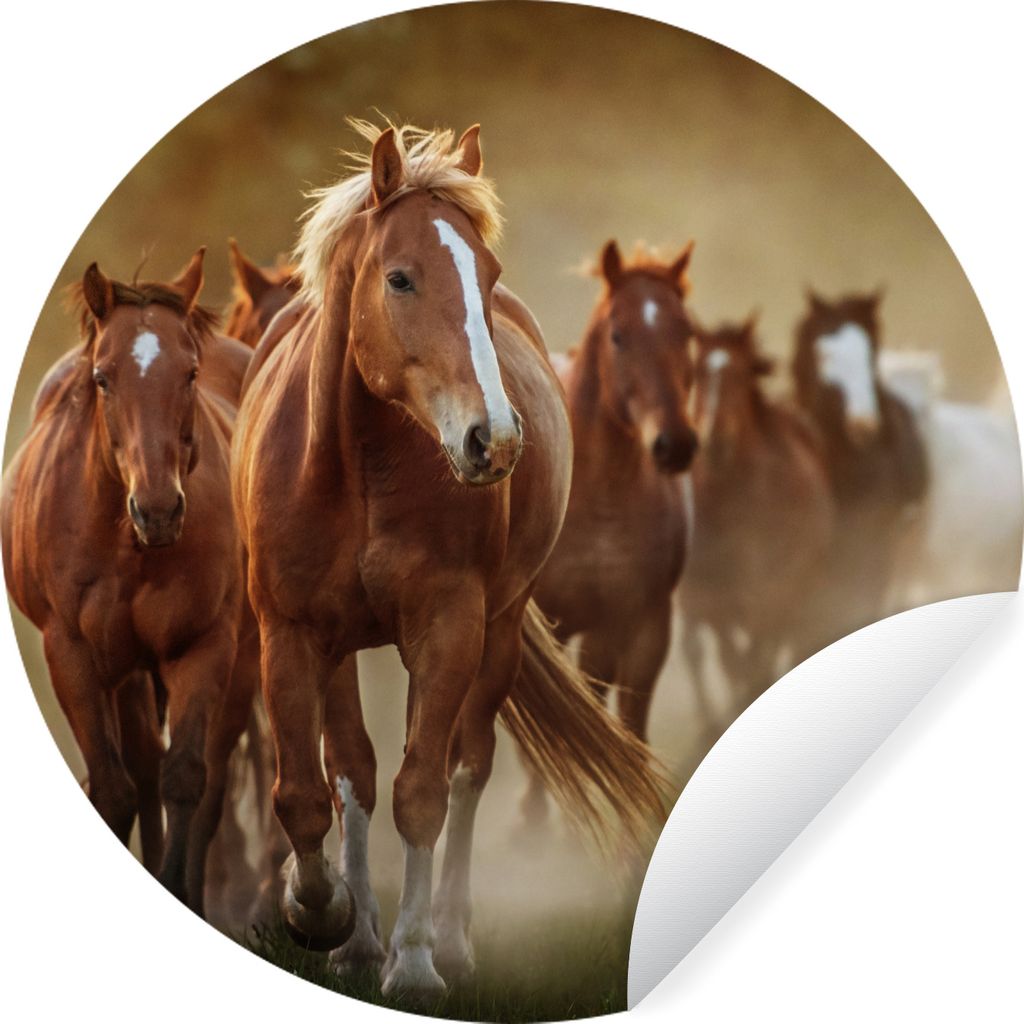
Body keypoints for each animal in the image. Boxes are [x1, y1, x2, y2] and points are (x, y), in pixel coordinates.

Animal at [2, 251, 258, 915]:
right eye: (102, 378)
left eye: (189, 374)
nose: (159, 509)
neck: (130, 544)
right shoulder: (72, 653)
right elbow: (114, 788)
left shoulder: (203, 646)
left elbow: (187, 777)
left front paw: (179, 888)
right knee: (139, 768)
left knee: (205, 778)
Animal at [232, 121, 664, 998]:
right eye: (400, 277)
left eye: (485, 276)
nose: (491, 439)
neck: (359, 466)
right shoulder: (289, 633)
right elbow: (309, 792)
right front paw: (320, 912)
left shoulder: (449, 626)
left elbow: (425, 791)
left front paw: (416, 962)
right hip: (340, 650)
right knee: (353, 770)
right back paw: (357, 941)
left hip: (495, 632)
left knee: (467, 767)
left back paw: (448, 940)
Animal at [679, 316, 835, 718]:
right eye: (695, 372)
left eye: (741, 374)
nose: (715, 441)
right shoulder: (711, 600)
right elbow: (730, 659)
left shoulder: (777, 590)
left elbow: (757, 656)